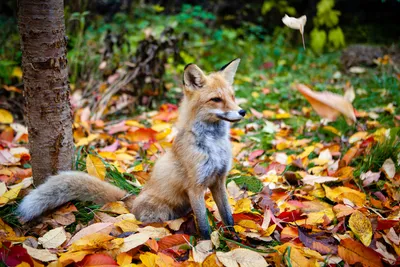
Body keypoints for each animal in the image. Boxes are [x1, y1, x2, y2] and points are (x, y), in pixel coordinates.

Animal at [18, 58, 244, 239]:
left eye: (233, 97)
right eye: (216, 99)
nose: (242, 112)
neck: (214, 146)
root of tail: (131, 200)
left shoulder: (219, 181)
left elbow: (228, 216)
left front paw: (235, 241)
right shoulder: (195, 187)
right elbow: (204, 225)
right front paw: (208, 248)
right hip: (161, 214)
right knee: (145, 227)